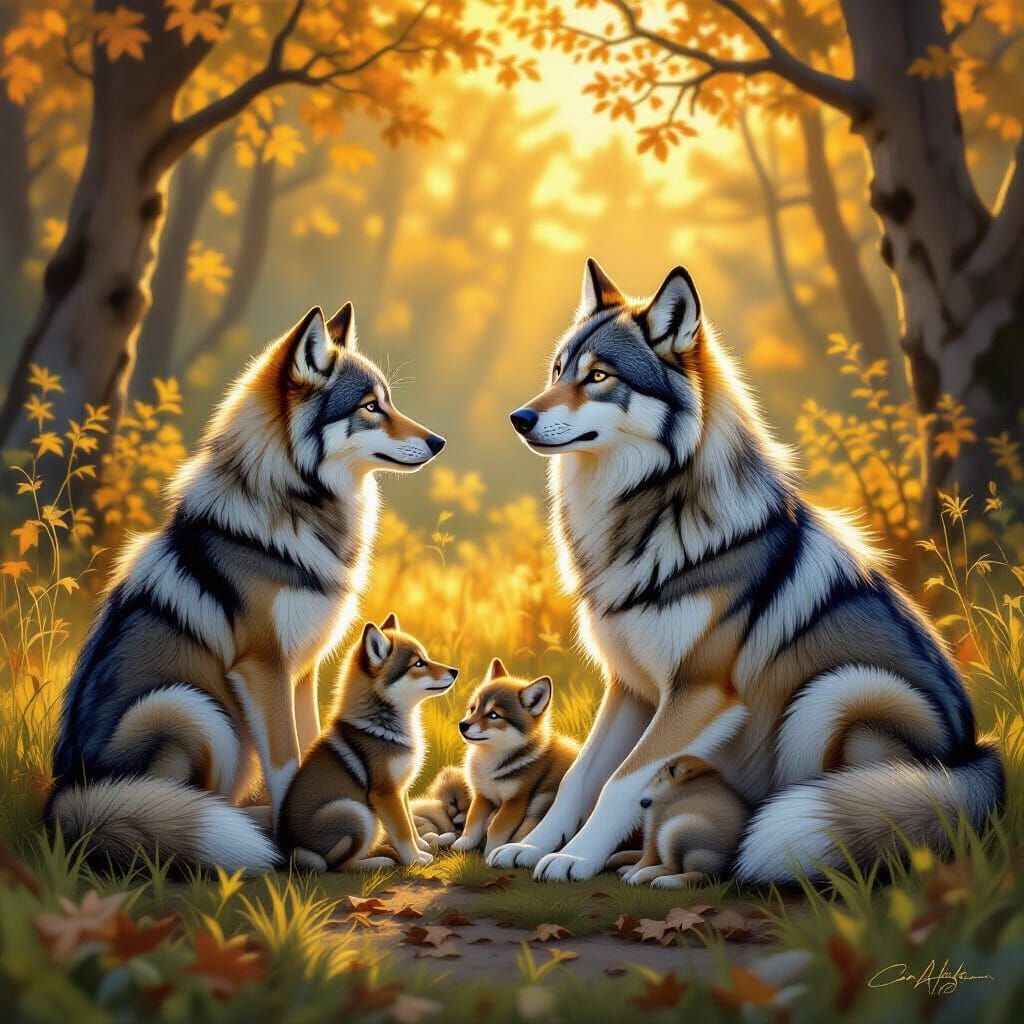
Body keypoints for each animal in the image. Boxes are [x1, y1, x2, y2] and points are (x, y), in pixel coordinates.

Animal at [279, 614, 458, 870]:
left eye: (425, 658)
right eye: (418, 664)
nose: (455, 671)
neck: (382, 727)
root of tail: (292, 850)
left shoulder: (400, 790)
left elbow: (409, 825)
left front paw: (421, 846)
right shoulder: (385, 793)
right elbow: (402, 831)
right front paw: (414, 859)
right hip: (356, 813)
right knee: (339, 866)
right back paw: (379, 861)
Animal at [453, 659, 578, 858]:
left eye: (493, 715)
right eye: (472, 709)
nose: (462, 725)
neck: (490, 764)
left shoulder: (516, 801)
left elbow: (496, 829)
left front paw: (490, 853)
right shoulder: (482, 794)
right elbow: (473, 821)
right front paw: (464, 843)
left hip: (541, 801)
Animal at [488, 258, 1003, 883]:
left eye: (600, 377)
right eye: (558, 371)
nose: (519, 417)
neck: (648, 514)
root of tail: (974, 761)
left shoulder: (700, 692)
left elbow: (618, 783)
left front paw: (575, 859)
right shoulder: (629, 688)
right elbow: (581, 777)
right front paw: (535, 846)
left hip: (839, 690)